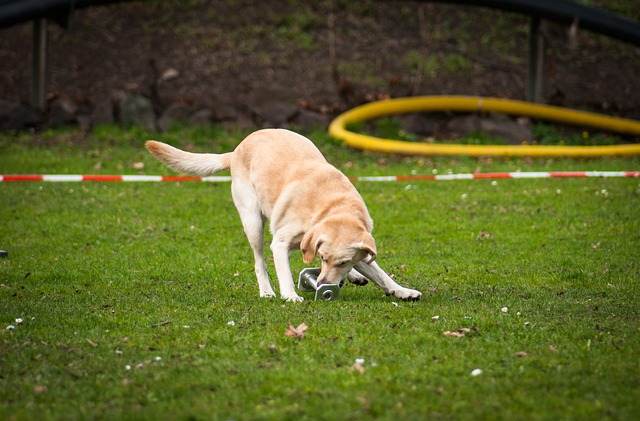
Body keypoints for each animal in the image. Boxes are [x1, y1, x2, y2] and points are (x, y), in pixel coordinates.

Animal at [148, 129, 422, 302]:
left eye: (342, 262)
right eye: (323, 257)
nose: (322, 285)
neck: (333, 206)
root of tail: (237, 148)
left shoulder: (359, 250)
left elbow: (380, 273)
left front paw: (402, 291)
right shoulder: (280, 243)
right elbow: (284, 272)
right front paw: (290, 295)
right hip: (253, 222)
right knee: (259, 261)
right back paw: (267, 292)